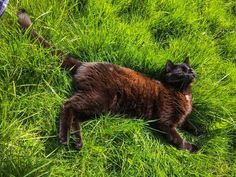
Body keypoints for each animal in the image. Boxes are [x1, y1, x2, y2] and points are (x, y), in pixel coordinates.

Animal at [17, 9, 202, 153]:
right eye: (181, 70)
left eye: (190, 68)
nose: (192, 72)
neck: (183, 93)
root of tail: (84, 63)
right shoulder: (165, 122)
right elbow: (178, 139)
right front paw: (193, 147)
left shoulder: (182, 118)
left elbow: (188, 123)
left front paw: (199, 131)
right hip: (99, 98)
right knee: (67, 105)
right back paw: (63, 138)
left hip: (96, 107)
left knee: (75, 115)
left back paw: (78, 142)